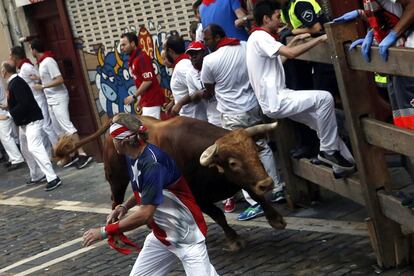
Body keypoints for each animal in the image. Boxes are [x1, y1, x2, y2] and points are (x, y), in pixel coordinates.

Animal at [56, 115, 286, 251]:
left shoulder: (242, 180)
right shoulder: (199, 196)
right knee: (116, 202)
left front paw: (275, 218)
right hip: (116, 179)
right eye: (233, 162)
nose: (267, 182)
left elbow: (255, 193)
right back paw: (119, 236)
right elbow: (218, 215)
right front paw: (233, 239)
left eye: (255, 151)